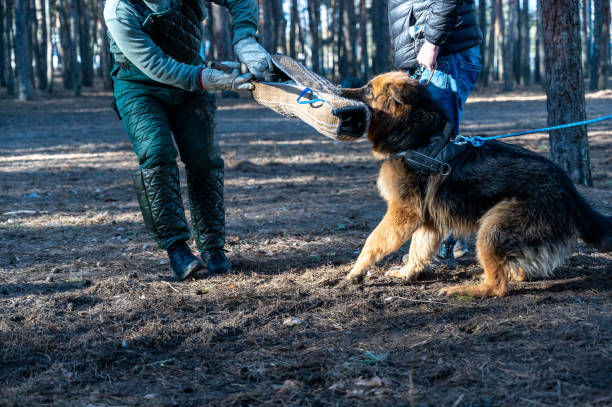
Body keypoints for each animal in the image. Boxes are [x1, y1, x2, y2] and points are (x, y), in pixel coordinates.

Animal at [340, 71, 612, 298]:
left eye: (368, 89)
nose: (341, 90)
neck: (419, 137)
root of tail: (570, 192)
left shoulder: (403, 213)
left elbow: (372, 242)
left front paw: (356, 271)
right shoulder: (428, 221)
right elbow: (418, 249)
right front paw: (408, 273)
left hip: (492, 229)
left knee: (499, 286)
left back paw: (466, 289)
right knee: (515, 272)